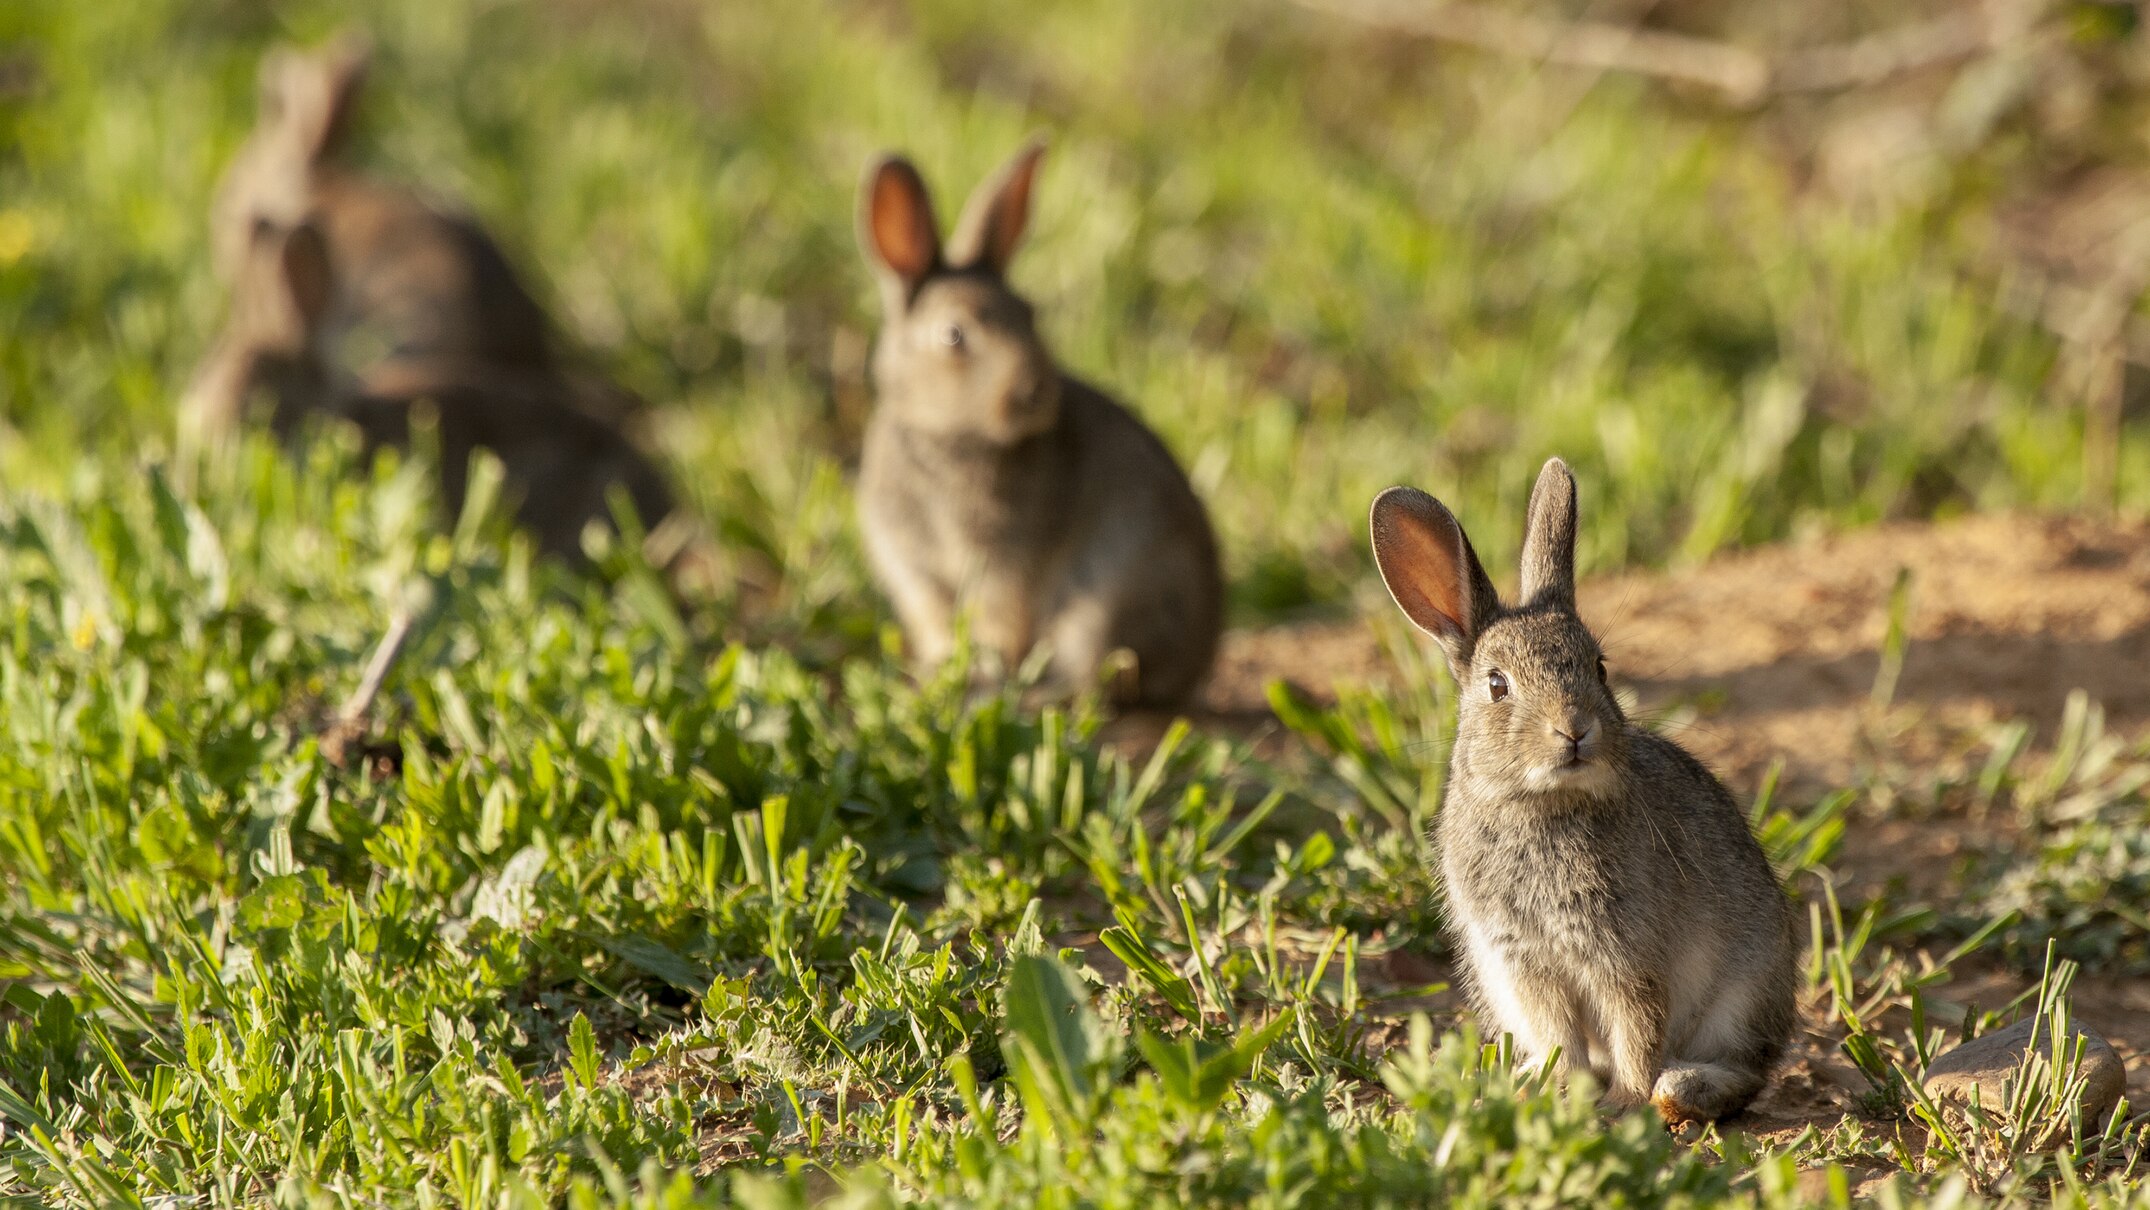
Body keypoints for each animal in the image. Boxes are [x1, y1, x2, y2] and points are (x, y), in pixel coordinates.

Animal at [855, 138, 1222, 709]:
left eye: (1029, 314)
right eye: (954, 335)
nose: (1036, 391)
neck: (947, 439)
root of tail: (1194, 666)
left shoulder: (1004, 566)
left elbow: (1000, 625)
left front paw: (983, 678)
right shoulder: (916, 574)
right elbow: (940, 628)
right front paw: (942, 679)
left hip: (1100, 604)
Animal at [1368, 457, 1795, 1125]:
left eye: (1599, 667)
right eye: (1497, 685)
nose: (1575, 729)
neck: (1540, 805)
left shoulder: (1627, 957)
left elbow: (1637, 1029)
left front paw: (1627, 1102)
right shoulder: (1526, 965)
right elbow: (1562, 1037)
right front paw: (1559, 1089)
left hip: (1743, 992)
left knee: (1745, 1069)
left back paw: (1681, 1090)